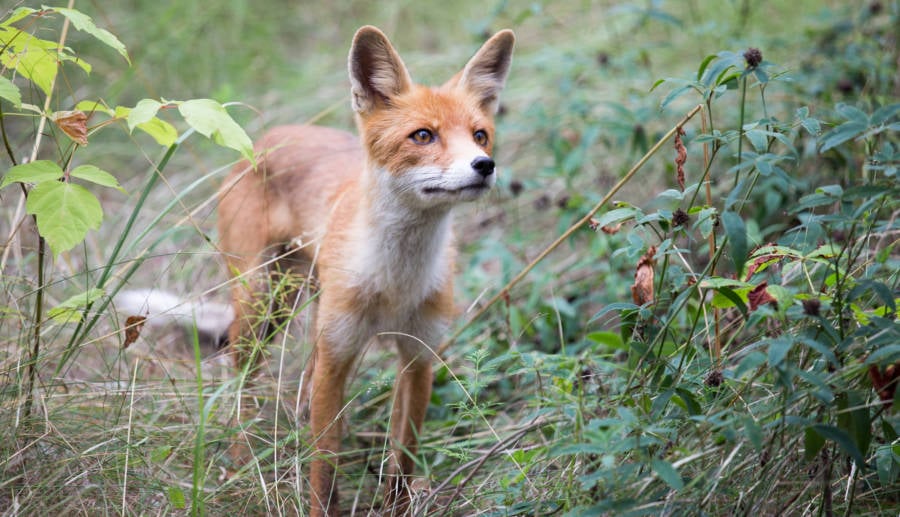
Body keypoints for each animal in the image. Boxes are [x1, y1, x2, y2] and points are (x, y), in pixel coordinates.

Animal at [215, 26, 516, 512]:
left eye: (480, 135)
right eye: (423, 135)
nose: (484, 166)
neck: (395, 282)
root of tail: (265, 137)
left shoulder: (419, 355)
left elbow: (402, 461)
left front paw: (397, 508)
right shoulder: (338, 358)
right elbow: (324, 467)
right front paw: (321, 507)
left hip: (299, 303)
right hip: (261, 301)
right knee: (243, 379)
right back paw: (240, 462)